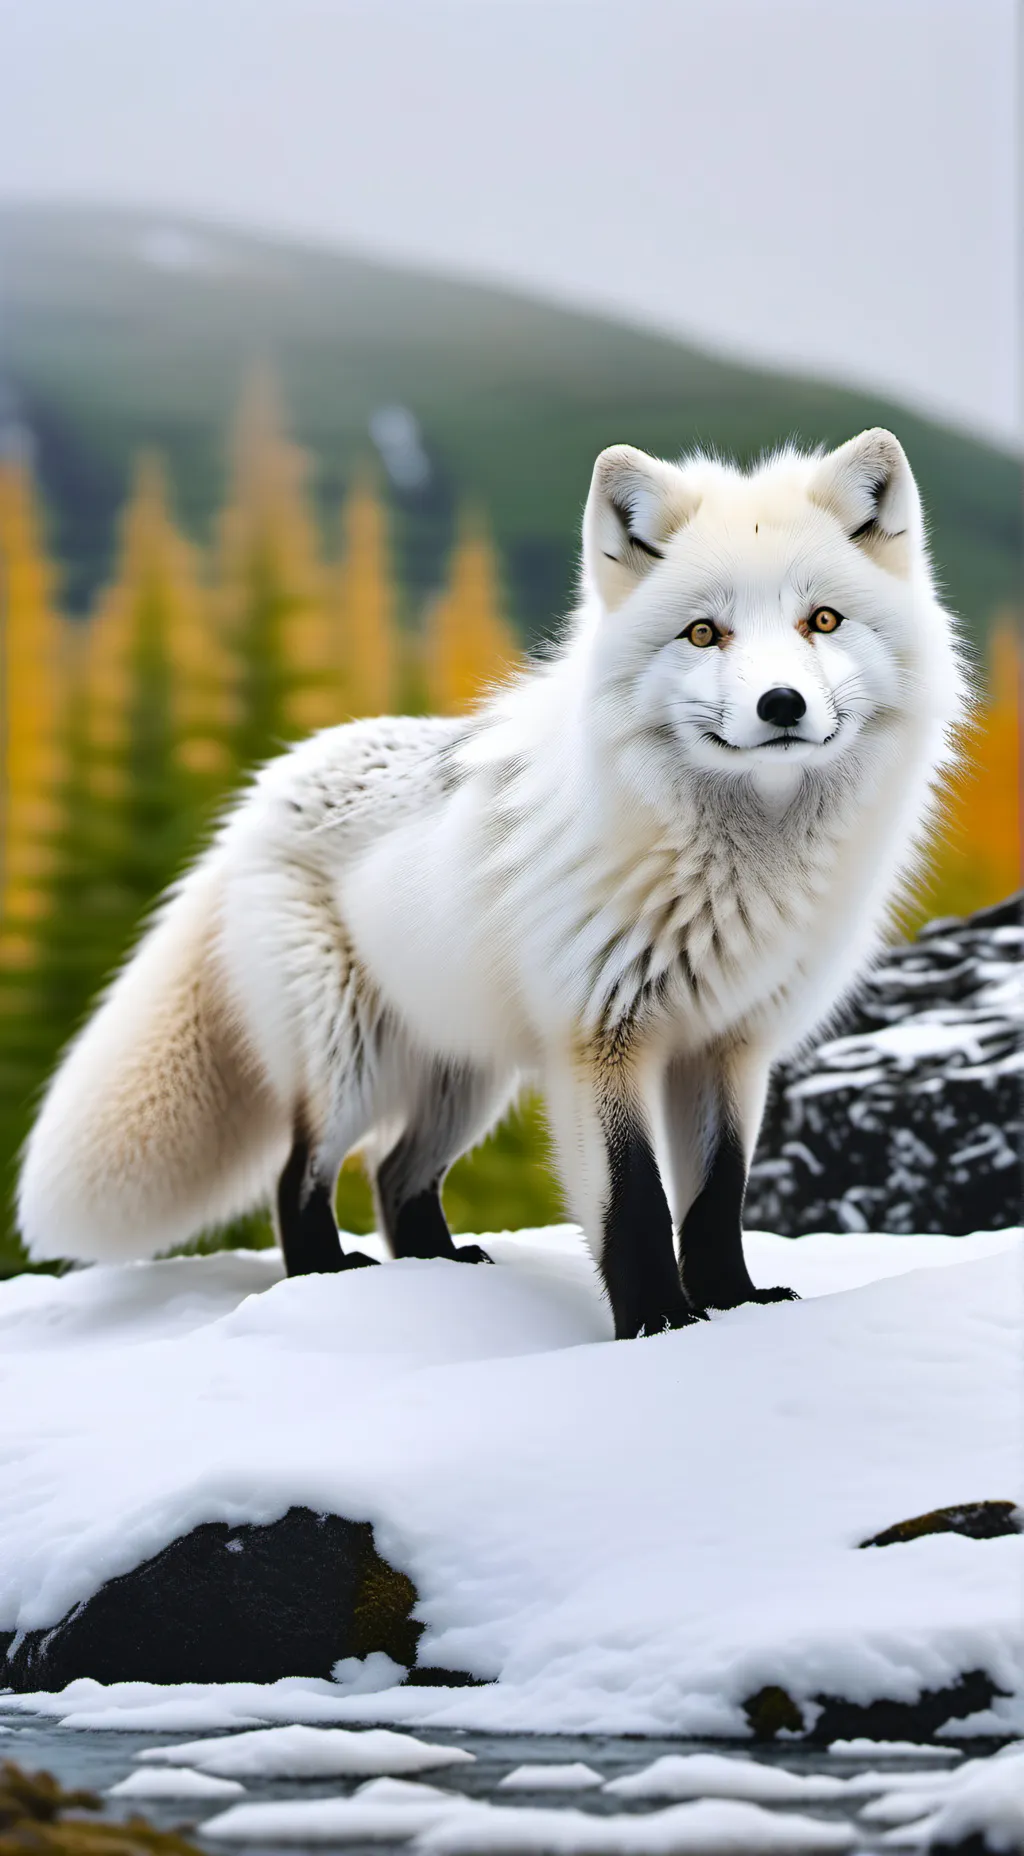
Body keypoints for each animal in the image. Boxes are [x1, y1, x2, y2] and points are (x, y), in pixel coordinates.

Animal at [18, 429, 967, 1338]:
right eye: (705, 633)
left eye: (823, 620)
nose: (780, 705)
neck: (738, 874)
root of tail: (268, 786)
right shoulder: (602, 1037)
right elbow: (634, 1205)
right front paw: (658, 1327)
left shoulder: (729, 1044)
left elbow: (715, 1200)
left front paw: (733, 1305)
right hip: (349, 1061)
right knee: (303, 1176)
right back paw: (329, 1280)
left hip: (464, 1080)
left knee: (396, 1175)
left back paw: (442, 1271)